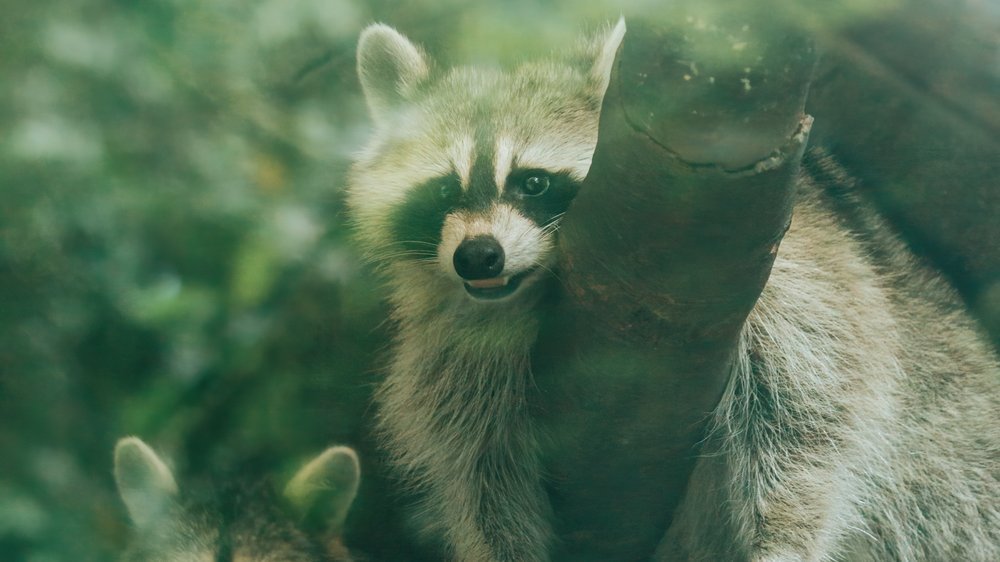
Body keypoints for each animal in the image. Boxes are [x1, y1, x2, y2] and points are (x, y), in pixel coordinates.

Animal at [346, 19, 1000, 556]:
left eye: (532, 183)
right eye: (442, 191)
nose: (478, 256)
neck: (529, 298)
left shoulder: (793, 286)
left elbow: (811, 425)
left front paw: (784, 533)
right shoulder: (453, 350)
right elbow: (478, 470)